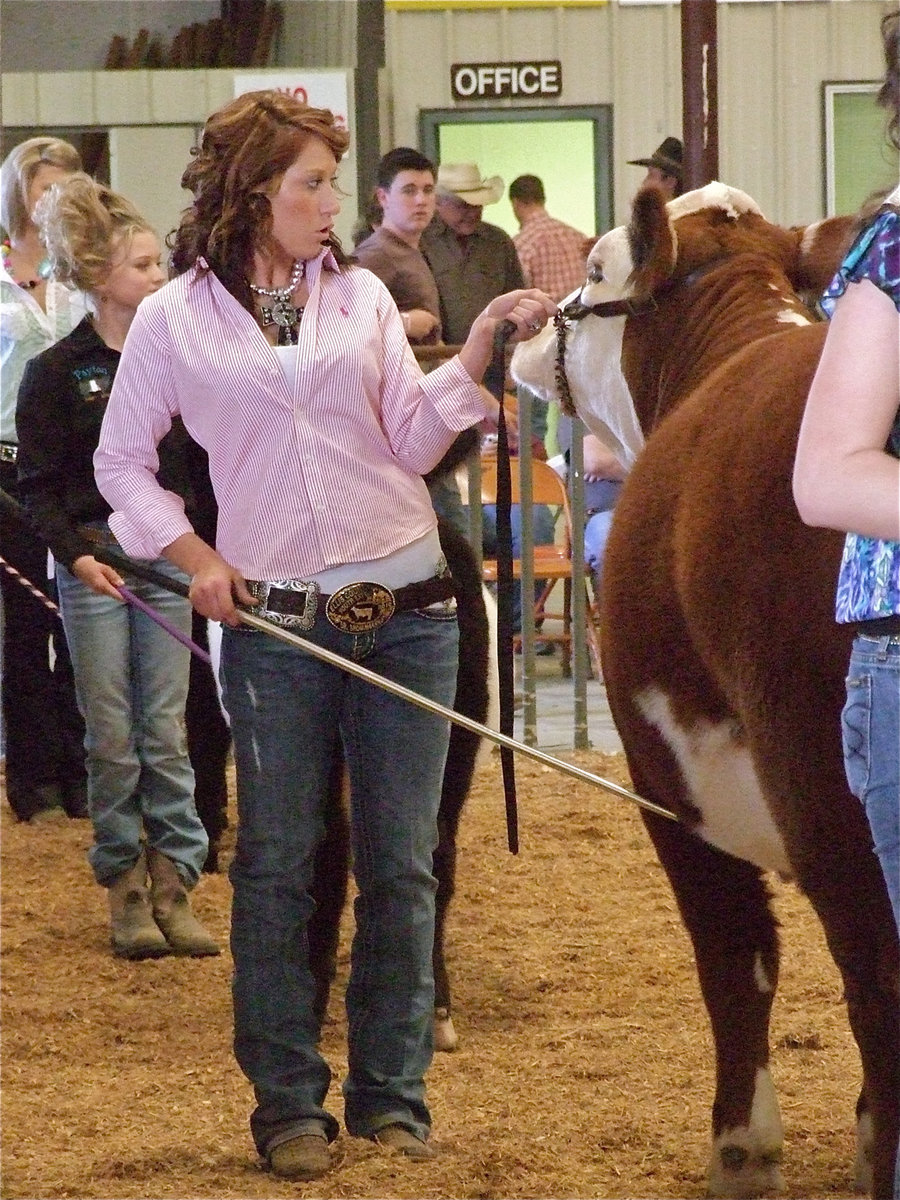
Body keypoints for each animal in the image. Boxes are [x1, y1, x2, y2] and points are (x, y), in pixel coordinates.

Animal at [513, 182, 900, 1195]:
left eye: (597, 265)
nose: (528, 321)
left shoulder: (665, 780)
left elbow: (735, 955)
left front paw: (742, 1144)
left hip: (832, 794)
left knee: (876, 984)